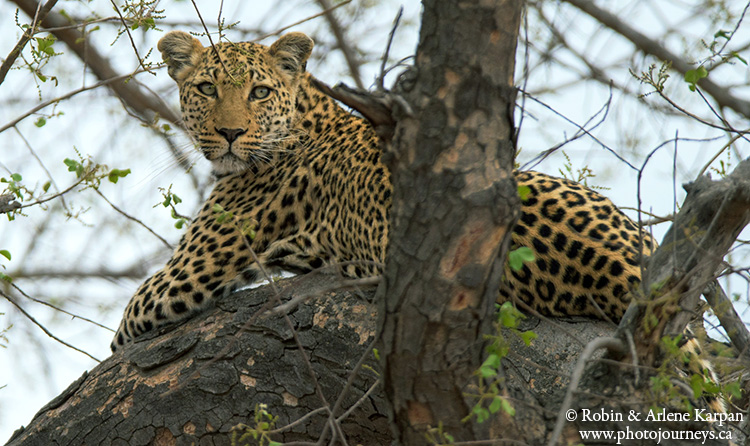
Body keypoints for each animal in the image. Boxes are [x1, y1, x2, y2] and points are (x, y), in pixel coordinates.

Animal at [108, 32, 724, 412]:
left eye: (258, 91)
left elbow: (121, 331)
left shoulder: (184, 277)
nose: (232, 133)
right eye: (206, 88)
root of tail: (620, 262)